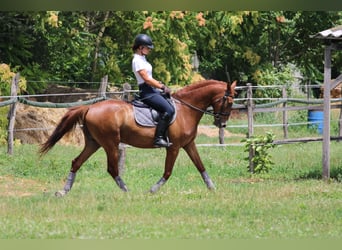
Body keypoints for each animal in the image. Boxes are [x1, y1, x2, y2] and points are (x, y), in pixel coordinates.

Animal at [40, 79, 236, 195]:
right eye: (229, 101)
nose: (222, 124)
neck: (185, 110)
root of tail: (90, 107)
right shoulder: (174, 147)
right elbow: (168, 171)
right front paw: (153, 189)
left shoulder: (189, 144)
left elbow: (200, 165)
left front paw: (212, 187)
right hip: (110, 143)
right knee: (112, 169)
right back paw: (127, 191)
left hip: (94, 143)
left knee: (76, 162)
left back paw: (63, 191)